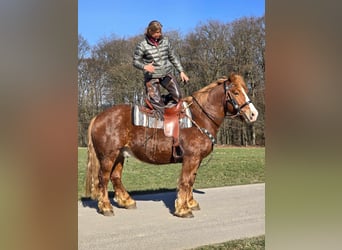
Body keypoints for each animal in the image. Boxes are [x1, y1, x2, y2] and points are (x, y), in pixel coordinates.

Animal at [84, 72, 258, 217]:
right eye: (236, 92)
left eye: (245, 90)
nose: (253, 114)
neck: (200, 118)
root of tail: (98, 117)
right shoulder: (191, 158)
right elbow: (185, 181)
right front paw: (183, 209)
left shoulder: (196, 160)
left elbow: (191, 180)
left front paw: (190, 203)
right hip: (108, 156)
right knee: (103, 178)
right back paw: (106, 207)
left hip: (120, 154)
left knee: (115, 177)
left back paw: (127, 201)